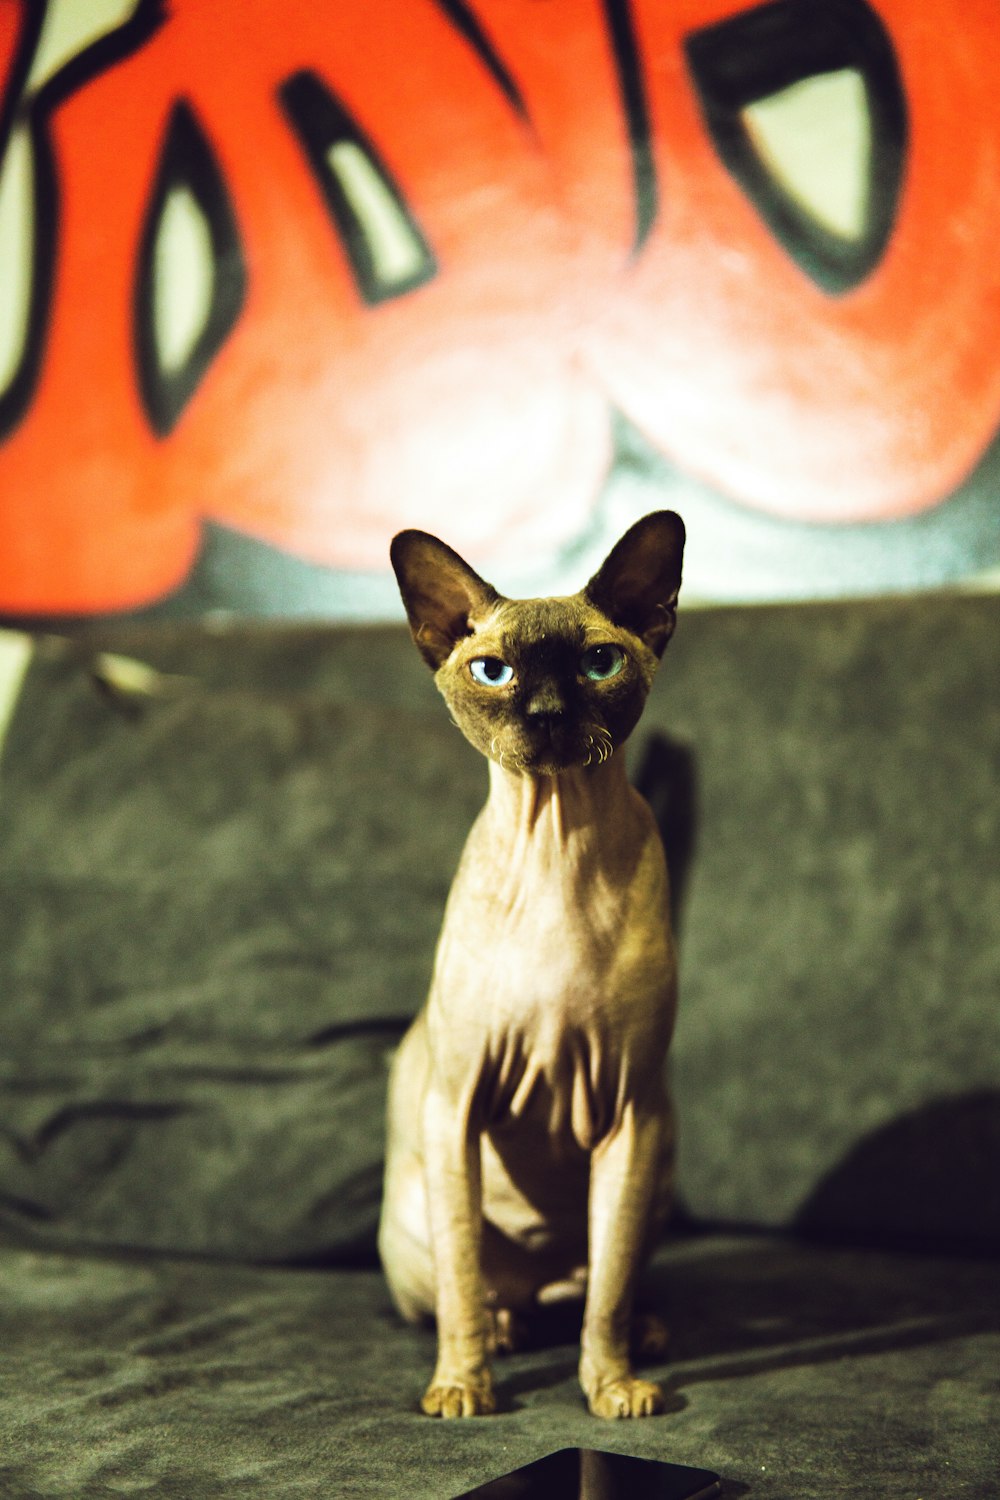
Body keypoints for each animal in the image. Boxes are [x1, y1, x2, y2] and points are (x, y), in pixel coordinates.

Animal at [379, 513, 683, 1416]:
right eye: (494, 671)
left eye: (598, 663)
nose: (547, 713)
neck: (558, 842)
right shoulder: (457, 1107)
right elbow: (462, 1280)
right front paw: (462, 1387)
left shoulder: (631, 1113)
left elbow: (608, 1290)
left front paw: (612, 1387)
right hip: (415, 1205)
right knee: (473, 1290)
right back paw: (506, 1332)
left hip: (657, 1167)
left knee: (600, 1283)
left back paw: (643, 1331)